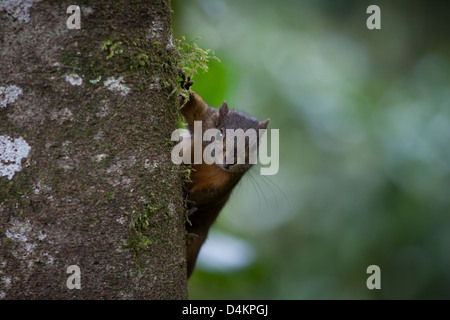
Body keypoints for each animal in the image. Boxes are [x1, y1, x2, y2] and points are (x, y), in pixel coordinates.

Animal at [178, 72, 268, 278]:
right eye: (219, 132)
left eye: (253, 146)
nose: (229, 161)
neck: (212, 164)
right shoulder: (205, 120)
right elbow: (194, 108)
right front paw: (185, 87)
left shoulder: (226, 181)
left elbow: (210, 193)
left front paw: (190, 200)